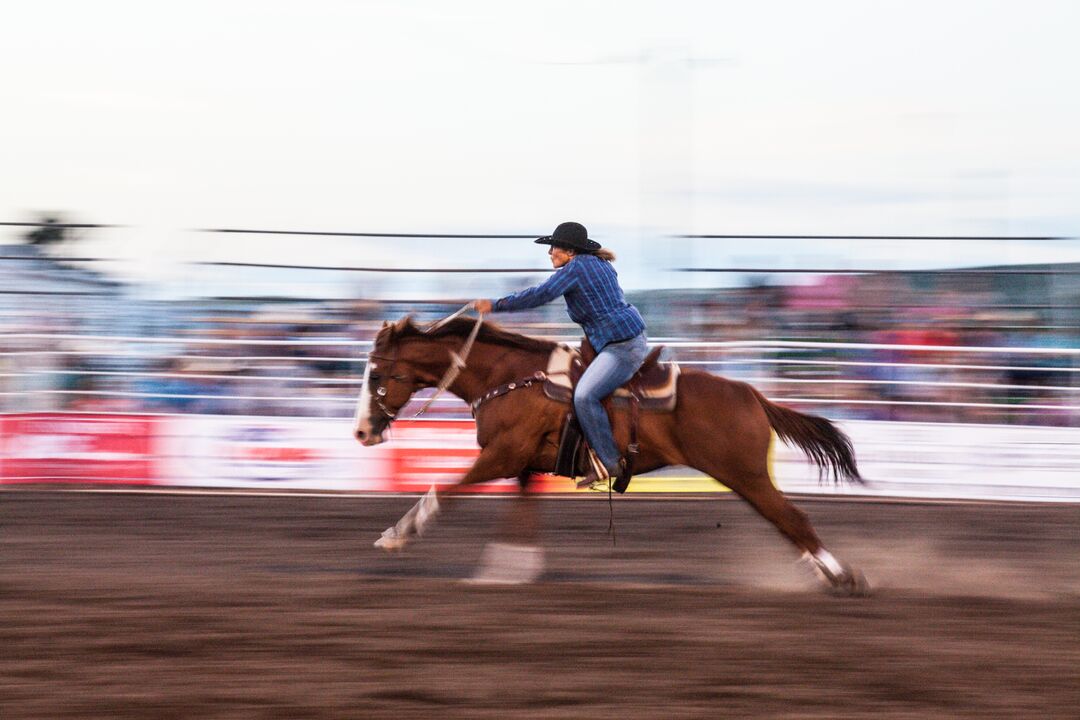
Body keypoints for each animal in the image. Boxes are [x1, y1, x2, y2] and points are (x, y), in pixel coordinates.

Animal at [354, 313, 868, 595]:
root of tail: (752, 395)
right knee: (787, 522)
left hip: (745, 475)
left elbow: (448, 489)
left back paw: (845, 579)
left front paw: (398, 535)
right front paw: (506, 570)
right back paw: (826, 575)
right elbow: (521, 517)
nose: (361, 432)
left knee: (793, 518)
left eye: (376, 375)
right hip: (746, 477)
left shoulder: (501, 456)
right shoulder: (524, 465)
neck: (509, 377)